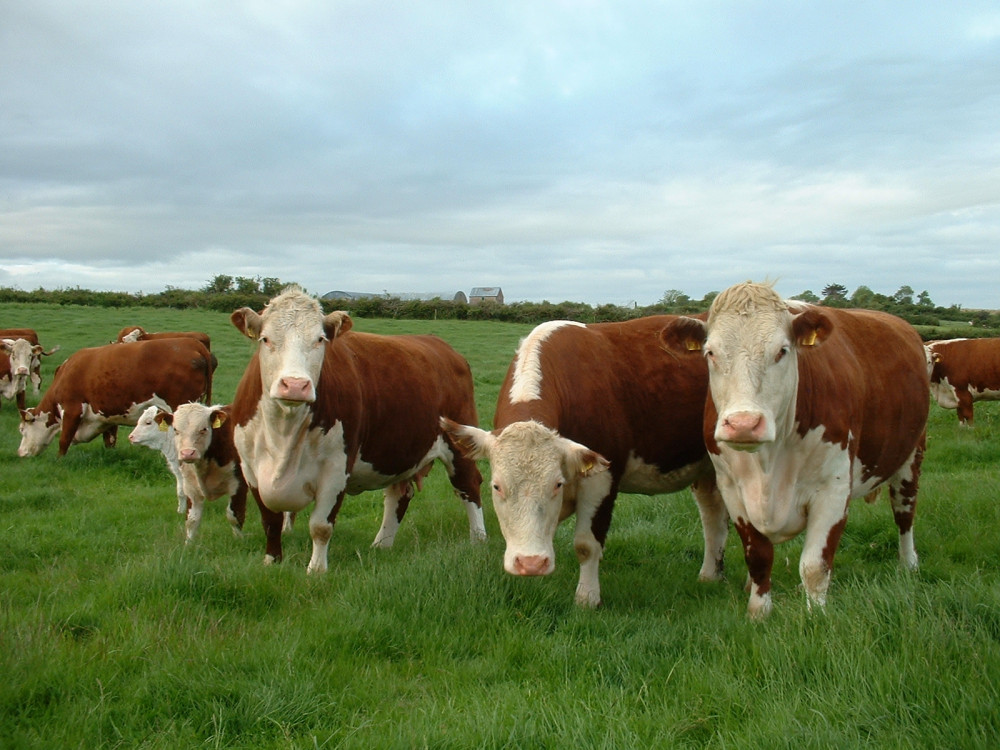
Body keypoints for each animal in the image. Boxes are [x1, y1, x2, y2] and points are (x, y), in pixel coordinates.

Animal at [18, 340, 217, 458]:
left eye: (22, 429)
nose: (20, 452)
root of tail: (192, 343)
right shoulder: (107, 417)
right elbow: (110, 441)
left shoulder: (72, 409)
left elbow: (63, 441)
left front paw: (60, 461)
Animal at [156, 406, 252, 548]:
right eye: (175, 430)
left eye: (204, 429)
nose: (187, 453)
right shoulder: (191, 488)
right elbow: (192, 520)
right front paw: (188, 545)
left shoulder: (239, 484)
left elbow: (234, 515)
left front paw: (239, 541)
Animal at [231, 288, 488, 576]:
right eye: (265, 339)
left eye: (319, 340)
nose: (295, 385)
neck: (283, 429)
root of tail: (440, 345)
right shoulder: (251, 470)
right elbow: (270, 521)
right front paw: (272, 561)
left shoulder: (336, 467)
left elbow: (320, 526)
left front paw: (316, 571)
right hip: (399, 450)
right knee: (400, 495)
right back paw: (381, 545)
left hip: (458, 441)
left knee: (469, 485)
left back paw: (478, 540)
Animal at [442, 318, 732, 612]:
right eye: (497, 486)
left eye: (557, 484)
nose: (530, 564)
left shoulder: (602, 479)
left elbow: (586, 545)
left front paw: (587, 597)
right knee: (713, 516)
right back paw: (710, 574)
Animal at [664, 284, 928, 620]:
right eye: (710, 353)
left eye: (782, 351)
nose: (743, 424)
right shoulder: (733, 490)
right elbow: (759, 556)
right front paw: (758, 612)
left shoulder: (833, 490)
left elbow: (815, 566)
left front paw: (816, 615)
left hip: (911, 456)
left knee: (905, 513)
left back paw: (909, 564)